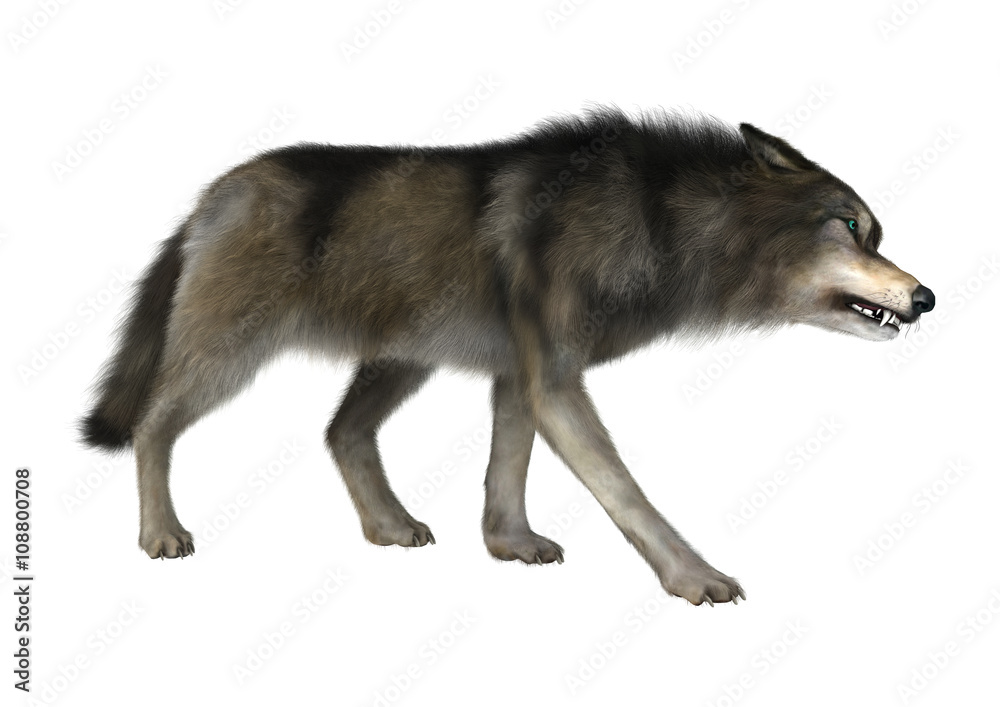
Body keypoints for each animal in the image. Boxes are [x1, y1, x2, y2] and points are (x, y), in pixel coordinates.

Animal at [81, 108, 934, 606]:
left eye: (873, 233)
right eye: (848, 227)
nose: (926, 297)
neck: (661, 219)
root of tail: (210, 195)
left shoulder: (521, 376)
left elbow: (508, 470)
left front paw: (508, 544)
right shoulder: (553, 377)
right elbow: (628, 492)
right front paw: (693, 577)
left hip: (402, 361)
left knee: (340, 431)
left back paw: (388, 526)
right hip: (231, 355)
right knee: (154, 424)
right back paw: (160, 533)